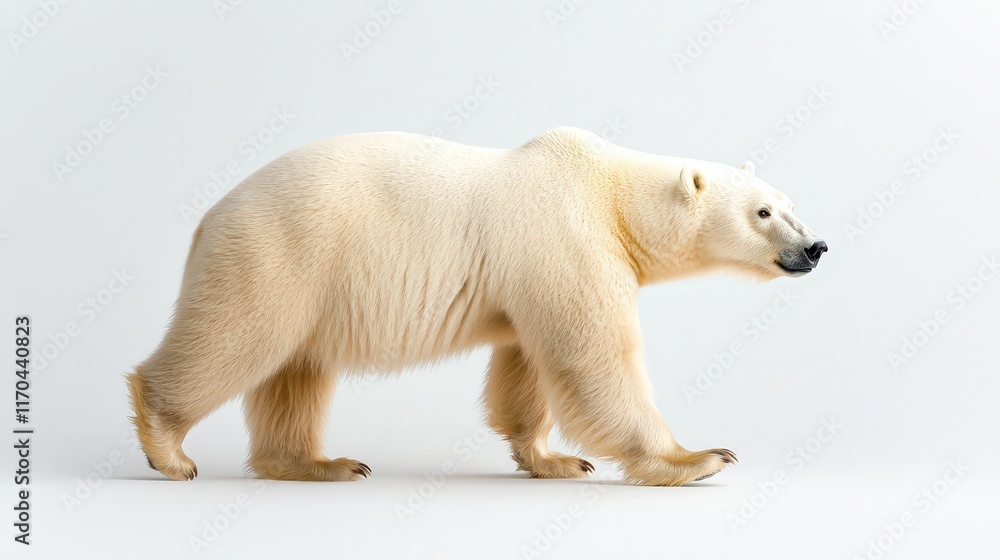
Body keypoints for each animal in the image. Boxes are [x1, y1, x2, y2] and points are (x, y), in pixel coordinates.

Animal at [126, 127, 827, 485]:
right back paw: (168, 448)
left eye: (790, 203)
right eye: (763, 213)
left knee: (295, 372)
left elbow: (525, 363)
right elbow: (594, 358)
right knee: (233, 340)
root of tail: (209, 217)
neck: (611, 194)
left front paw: (552, 459)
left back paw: (323, 463)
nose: (816, 247)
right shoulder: (566, 238)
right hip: (280, 257)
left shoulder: (529, 274)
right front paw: (697, 457)